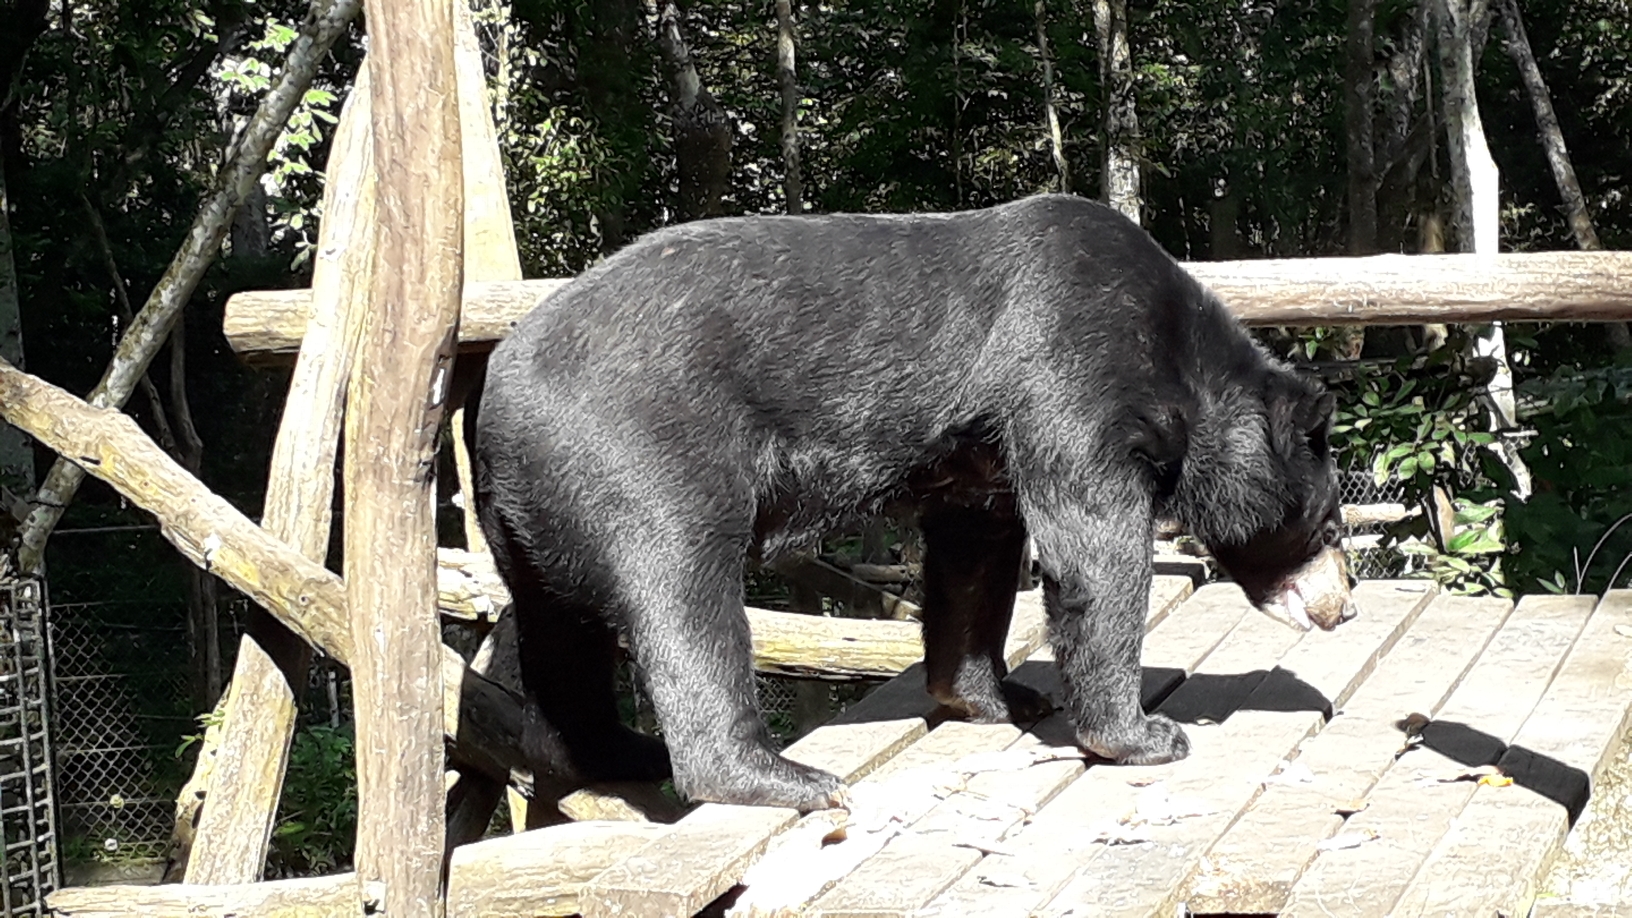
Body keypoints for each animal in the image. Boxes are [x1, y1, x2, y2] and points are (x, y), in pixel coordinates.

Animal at [473, 194, 1351, 806]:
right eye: (1331, 527)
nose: (1344, 605)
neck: (1183, 371)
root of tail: (497, 395)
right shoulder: (1069, 360)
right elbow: (1092, 543)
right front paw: (1141, 734)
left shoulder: (977, 458)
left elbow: (974, 556)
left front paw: (997, 694)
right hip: (639, 456)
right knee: (682, 598)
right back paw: (779, 777)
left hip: (532, 514)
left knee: (560, 634)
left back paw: (614, 750)